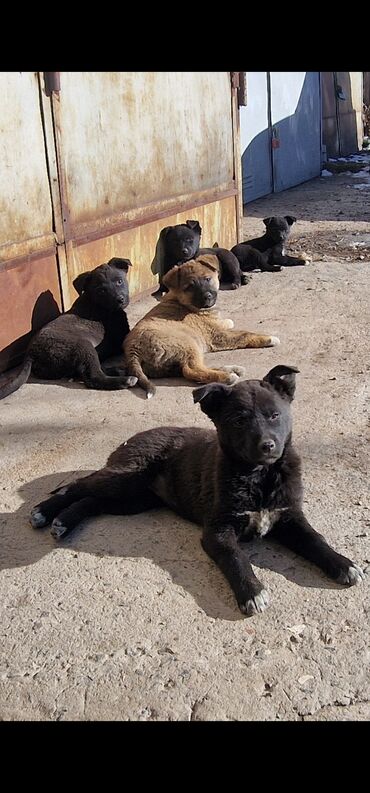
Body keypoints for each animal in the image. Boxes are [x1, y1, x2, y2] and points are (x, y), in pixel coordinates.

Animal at [0, 256, 137, 400]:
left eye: (119, 281)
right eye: (101, 291)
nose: (120, 300)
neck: (96, 303)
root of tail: (30, 355)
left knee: (84, 371)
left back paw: (119, 371)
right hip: (82, 346)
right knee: (93, 377)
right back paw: (126, 379)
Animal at [29, 362, 364, 616]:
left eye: (274, 415)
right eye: (239, 421)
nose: (267, 446)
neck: (259, 476)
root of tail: (130, 439)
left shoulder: (289, 516)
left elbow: (316, 539)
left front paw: (342, 564)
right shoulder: (217, 530)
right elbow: (235, 557)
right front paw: (251, 592)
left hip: (134, 499)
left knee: (92, 501)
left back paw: (63, 522)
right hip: (127, 477)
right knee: (78, 486)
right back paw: (44, 513)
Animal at [123, 255, 278, 396]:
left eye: (207, 279)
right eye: (189, 287)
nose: (207, 296)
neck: (184, 303)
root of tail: (132, 349)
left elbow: (225, 322)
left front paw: (227, 321)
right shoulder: (218, 336)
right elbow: (245, 334)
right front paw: (269, 339)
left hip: (168, 363)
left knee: (188, 370)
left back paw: (232, 369)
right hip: (188, 344)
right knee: (191, 370)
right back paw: (227, 377)